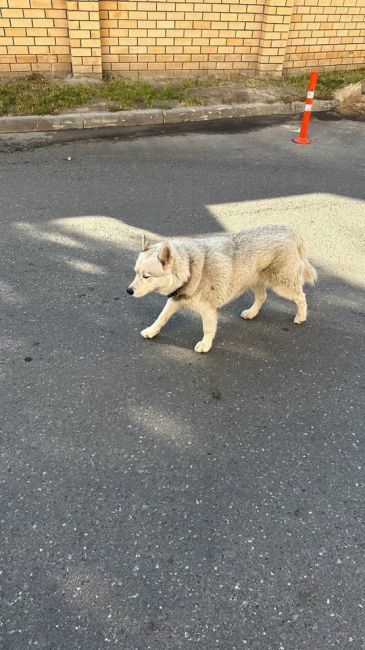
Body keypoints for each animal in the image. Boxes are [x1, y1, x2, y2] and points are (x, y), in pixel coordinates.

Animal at [128, 224, 316, 354]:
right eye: (135, 273)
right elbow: (161, 317)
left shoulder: (208, 310)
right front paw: (151, 331)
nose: (128, 291)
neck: (190, 269)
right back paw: (252, 312)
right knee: (262, 296)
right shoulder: (176, 299)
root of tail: (291, 232)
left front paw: (205, 344)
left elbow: (208, 329)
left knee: (301, 297)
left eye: (146, 276)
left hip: (282, 284)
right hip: (253, 280)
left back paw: (301, 316)